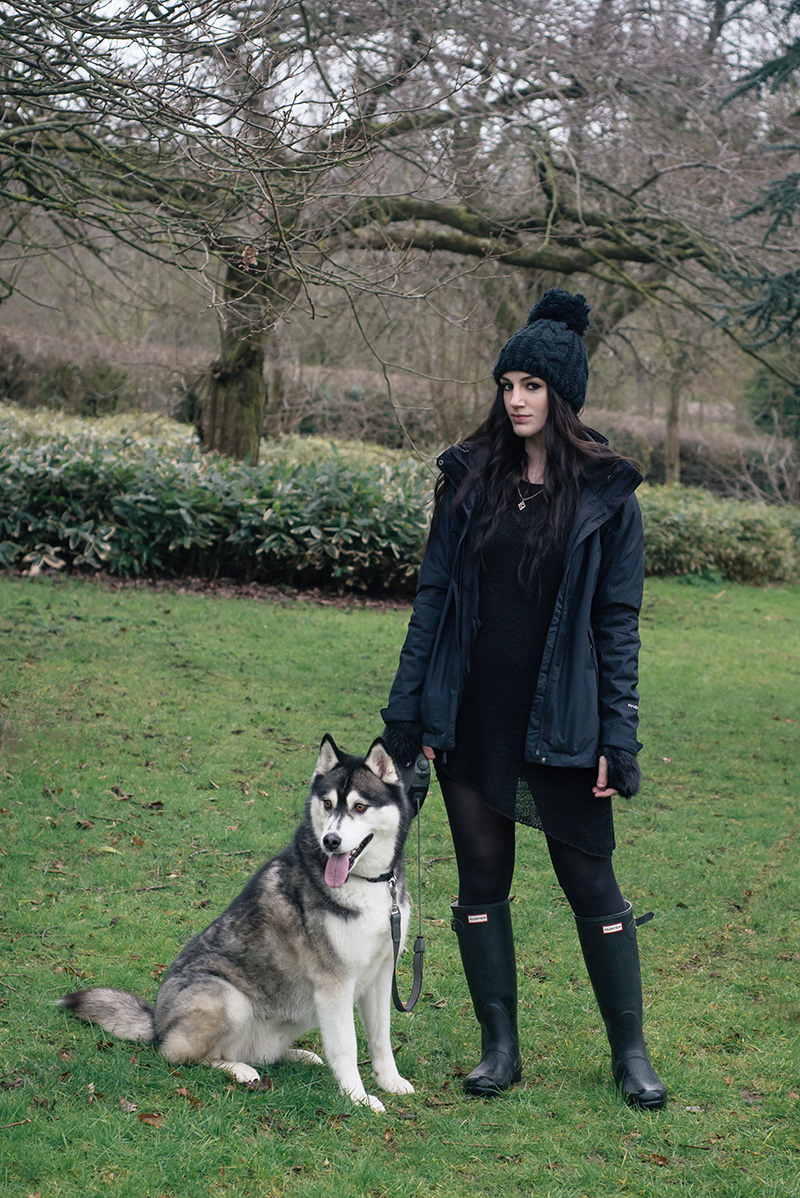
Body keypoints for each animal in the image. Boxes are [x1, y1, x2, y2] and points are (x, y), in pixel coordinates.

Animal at [62, 733, 416, 1116]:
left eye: (360, 807)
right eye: (327, 803)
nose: (330, 841)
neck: (368, 883)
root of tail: (157, 1021)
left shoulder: (381, 973)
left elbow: (381, 1038)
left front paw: (389, 1081)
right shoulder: (334, 982)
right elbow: (346, 1047)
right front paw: (357, 1097)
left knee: (260, 1052)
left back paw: (298, 1055)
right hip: (226, 998)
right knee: (180, 1054)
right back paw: (238, 1069)